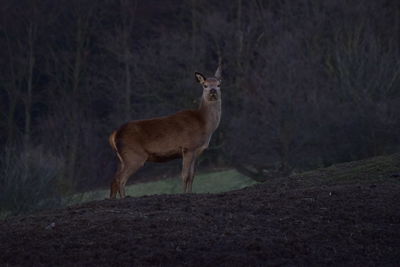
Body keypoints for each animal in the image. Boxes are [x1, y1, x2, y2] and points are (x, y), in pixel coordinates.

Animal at [108, 65, 222, 199]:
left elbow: (192, 175)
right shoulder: (188, 147)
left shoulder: (197, 151)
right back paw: (124, 198)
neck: (204, 123)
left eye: (219, 84)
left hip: (122, 158)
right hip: (133, 156)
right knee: (120, 179)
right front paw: (183, 194)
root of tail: (114, 134)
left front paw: (190, 193)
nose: (213, 91)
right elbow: (185, 175)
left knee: (114, 179)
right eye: (205, 85)